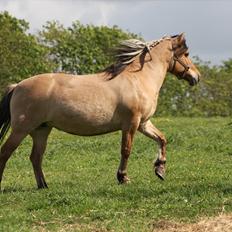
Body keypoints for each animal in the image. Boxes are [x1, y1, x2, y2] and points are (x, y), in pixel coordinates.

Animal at [0, 33, 200, 188]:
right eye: (186, 53)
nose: (196, 77)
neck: (138, 79)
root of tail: (17, 86)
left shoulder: (143, 123)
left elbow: (162, 139)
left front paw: (160, 169)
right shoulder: (131, 124)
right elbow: (126, 150)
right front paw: (123, 178)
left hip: (41, 130)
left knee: (36, 157)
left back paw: (43, 186)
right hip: (21, 130)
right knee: (5, 153)